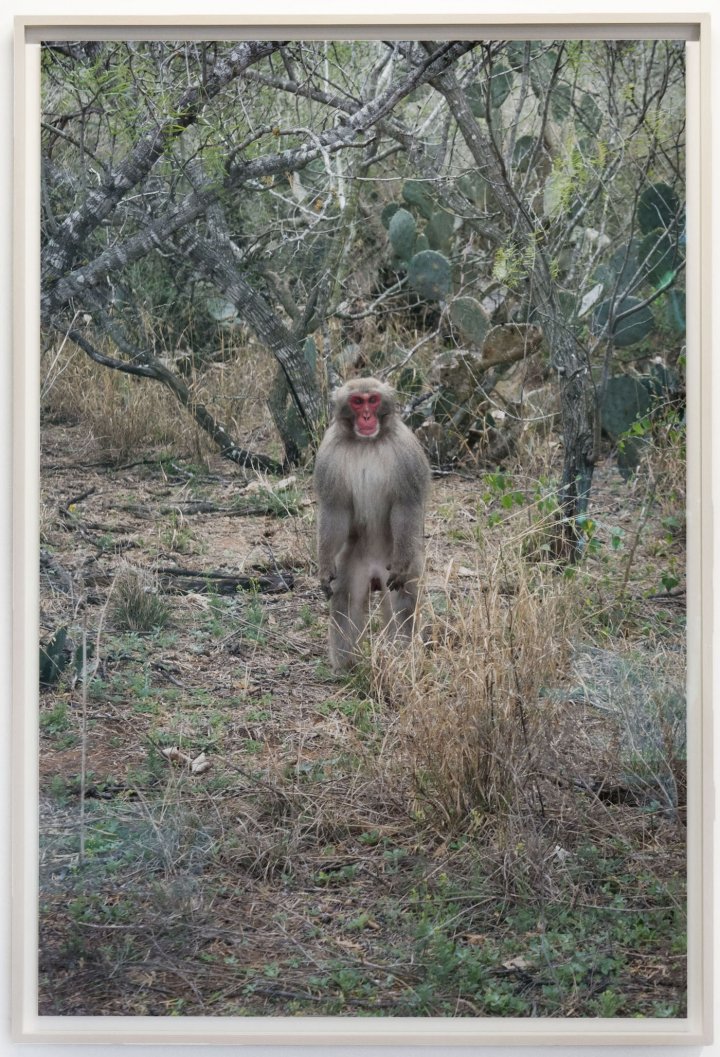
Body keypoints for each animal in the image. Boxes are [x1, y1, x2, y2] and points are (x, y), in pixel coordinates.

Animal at [313, 377, 431, 672]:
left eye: (373, 400)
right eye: (357, 401)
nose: (366, 416)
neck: (366, 442)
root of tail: (376, 572)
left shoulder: (406, 451)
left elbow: (405, 505)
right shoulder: (329, 454)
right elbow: (335, 509)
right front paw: (324, 568)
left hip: (400, 560)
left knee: (402, 602)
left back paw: (402, 659)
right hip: (353, 562)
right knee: (346, 598)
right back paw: (346, 666)